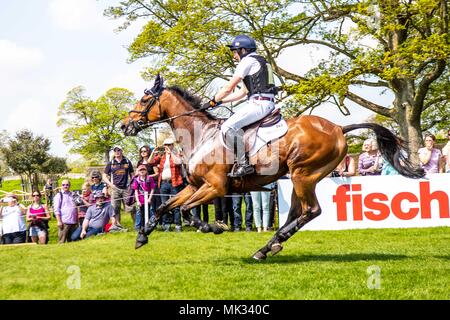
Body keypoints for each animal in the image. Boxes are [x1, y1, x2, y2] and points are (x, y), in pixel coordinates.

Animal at [121, 74, 424, 260]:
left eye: (144, 100)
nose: (125, 125)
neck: (201, 134)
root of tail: (338, 127)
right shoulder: (195, 186)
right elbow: (164, 205)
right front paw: (142, 237)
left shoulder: (215, 187)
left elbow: (185, 210)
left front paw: (213, 227)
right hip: (301, 179)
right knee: (297, 213)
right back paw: (269, 246)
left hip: (303, 175)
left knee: (312, 211)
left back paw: (270, 244)